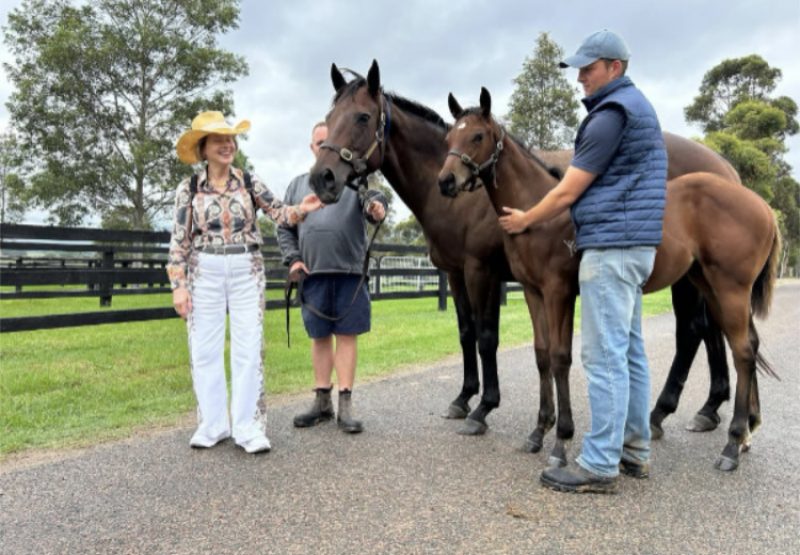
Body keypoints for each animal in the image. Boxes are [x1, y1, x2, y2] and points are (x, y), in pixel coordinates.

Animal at [310, 60, 736, 450]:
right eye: (329, 118)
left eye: (363, 117)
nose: (322, 179)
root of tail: (724, 169)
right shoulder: (456, 274)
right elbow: (466, 334)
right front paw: (463, 399)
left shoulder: (481, 271)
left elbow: (486, 338)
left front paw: (484, 408)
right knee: (710, 331)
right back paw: (708, 409)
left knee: (692, 332)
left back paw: (662, 413)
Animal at [440, 89, 780, 472]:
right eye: (448, 138)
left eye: (477, 136)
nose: (446, 181)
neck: (539, 212)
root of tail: (764, 207)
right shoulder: (532, 292)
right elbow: (542, 356)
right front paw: (538, 431)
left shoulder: (558, 292)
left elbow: (560, 357)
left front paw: (561, 440)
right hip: (708, 285)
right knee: (746, 343)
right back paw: (745, 431)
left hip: (729, 289)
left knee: (741, 351)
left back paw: (731, 444)